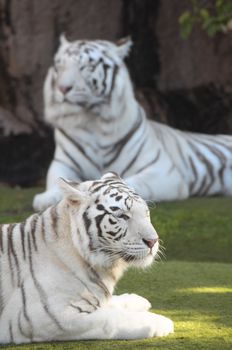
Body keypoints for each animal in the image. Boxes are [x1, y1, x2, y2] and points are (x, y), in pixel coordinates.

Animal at [0, 173, 173, 344]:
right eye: (122, 216)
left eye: (146, 213)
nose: (153, 241)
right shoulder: (44, 316)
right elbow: (111, 319)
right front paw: (161, 321)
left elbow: (109, 302)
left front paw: (137, 300)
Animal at [32, 35, 232, 211]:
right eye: (59, 65)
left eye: (88, 66)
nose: (62, 88)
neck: (92, 121)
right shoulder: (64, 163)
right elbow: (57, 182)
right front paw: (45, 198)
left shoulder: (163, 171)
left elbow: (127, 183)